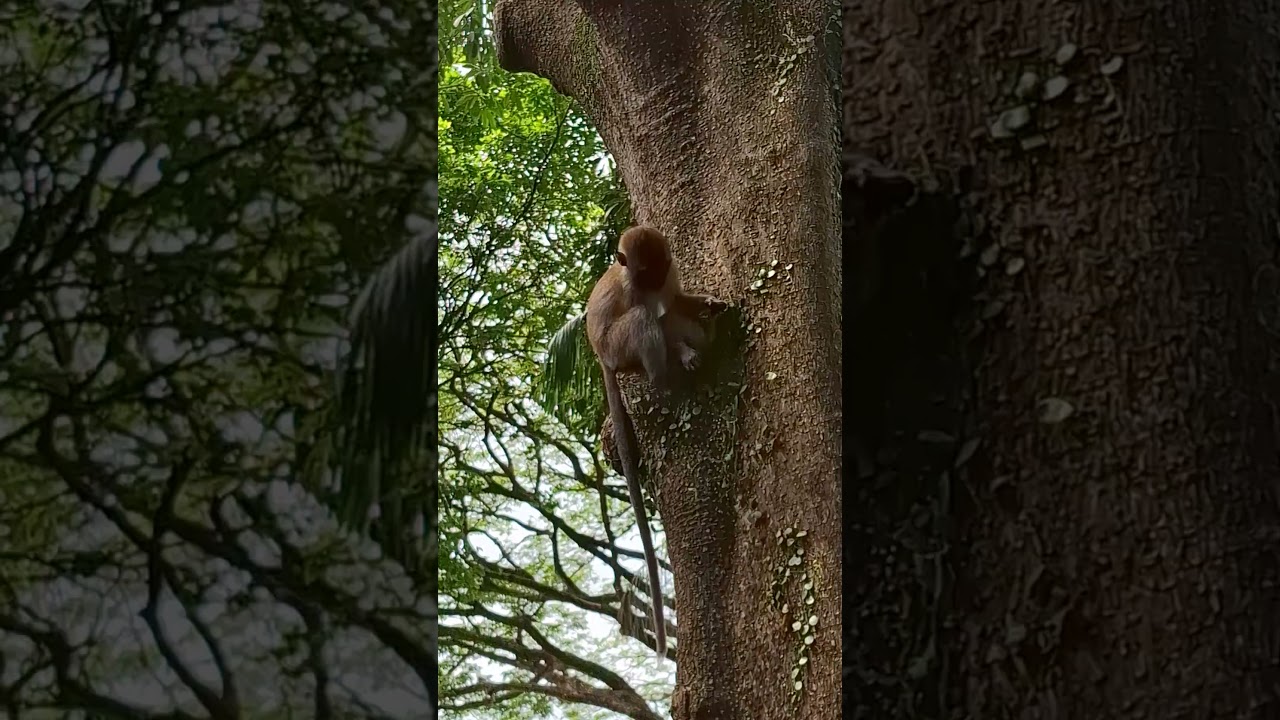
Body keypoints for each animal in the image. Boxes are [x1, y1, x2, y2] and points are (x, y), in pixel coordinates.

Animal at [585, 225, 728, 658]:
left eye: (662, 266)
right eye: (644, 272)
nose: (655, 280)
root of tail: (601, 357)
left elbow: (677, 302)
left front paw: (709, 304)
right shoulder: (633, 289)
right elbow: (653, 317)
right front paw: (681, 350)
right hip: (617, 347)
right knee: (645, 320)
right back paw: (665, 374)